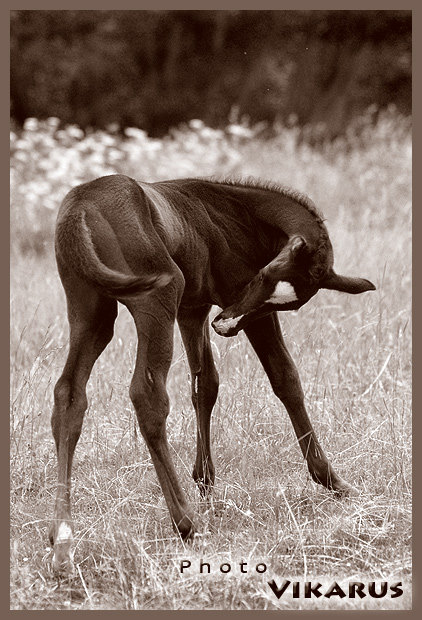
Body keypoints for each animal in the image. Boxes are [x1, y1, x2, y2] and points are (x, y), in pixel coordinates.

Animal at [50, 174, 376, 572]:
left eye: (293, 304)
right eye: (263, 274)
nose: (226, 325)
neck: (239, 213)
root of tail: (80, 205)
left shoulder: (194, 309)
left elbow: (205, 385)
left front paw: (205, 482)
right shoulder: (235, 311)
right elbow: (285, 378)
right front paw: (331, 479)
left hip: (91, 311)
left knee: (69, 395)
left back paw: (62, 538)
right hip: (156, 297)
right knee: (147, 396)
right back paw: (186, 523)